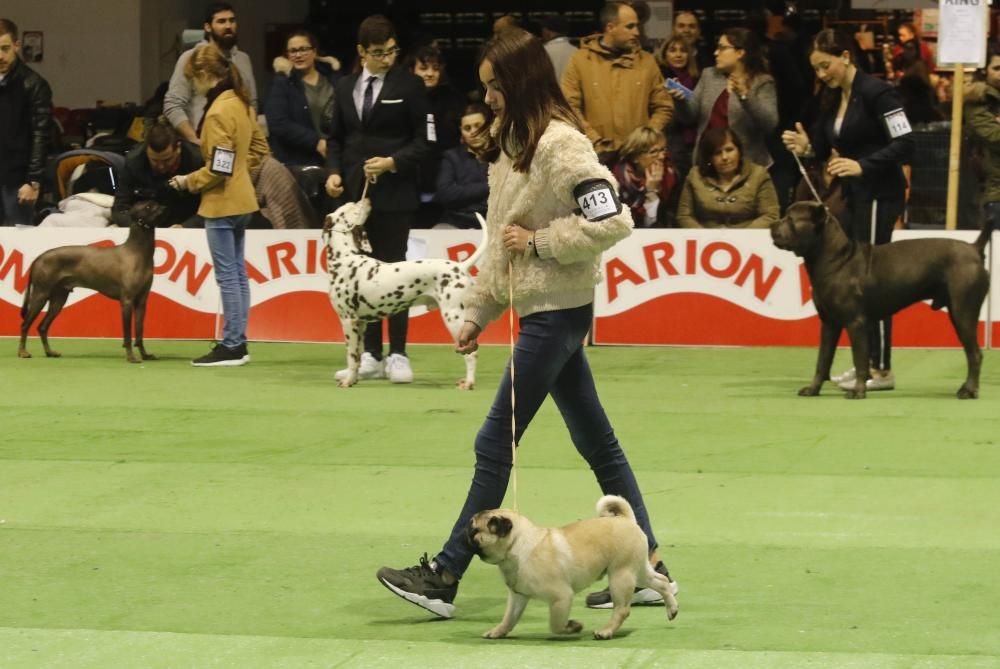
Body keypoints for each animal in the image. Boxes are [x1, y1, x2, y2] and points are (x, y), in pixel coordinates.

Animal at [322, 197, 486, 386]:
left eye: (352, 207)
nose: (367, 199)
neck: (345, 259)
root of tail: (460, 266)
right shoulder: (361, 323)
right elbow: (356, 361)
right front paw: (353, 378)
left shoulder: (349, 321)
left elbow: (351, 357)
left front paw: (348, 381)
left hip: (454, 318)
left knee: (471, 354)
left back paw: (469, 383)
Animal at [468, 494, 680, 640]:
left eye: (474, 530)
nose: (464, 531)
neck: (517, 545)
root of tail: (625, 519)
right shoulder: (518, 597)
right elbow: (509, 618)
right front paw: (498, 631)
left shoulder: (561, 597)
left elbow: (555, 624)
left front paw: (572, 626)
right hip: (638, 570)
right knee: (661, 582)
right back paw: (672, 609)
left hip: (621, 575)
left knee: (622, 609)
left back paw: (606, 631)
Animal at [768, 201, 988, 400]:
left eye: (790, 219)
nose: (771, 225)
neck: (836, 259)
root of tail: (974, 249)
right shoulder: (829, 324)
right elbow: (822, 361)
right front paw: (813, 389)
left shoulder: (856, 323)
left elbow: (859, 360)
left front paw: (858, 391)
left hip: (962, 312)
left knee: (974, 354)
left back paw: (969, 390)